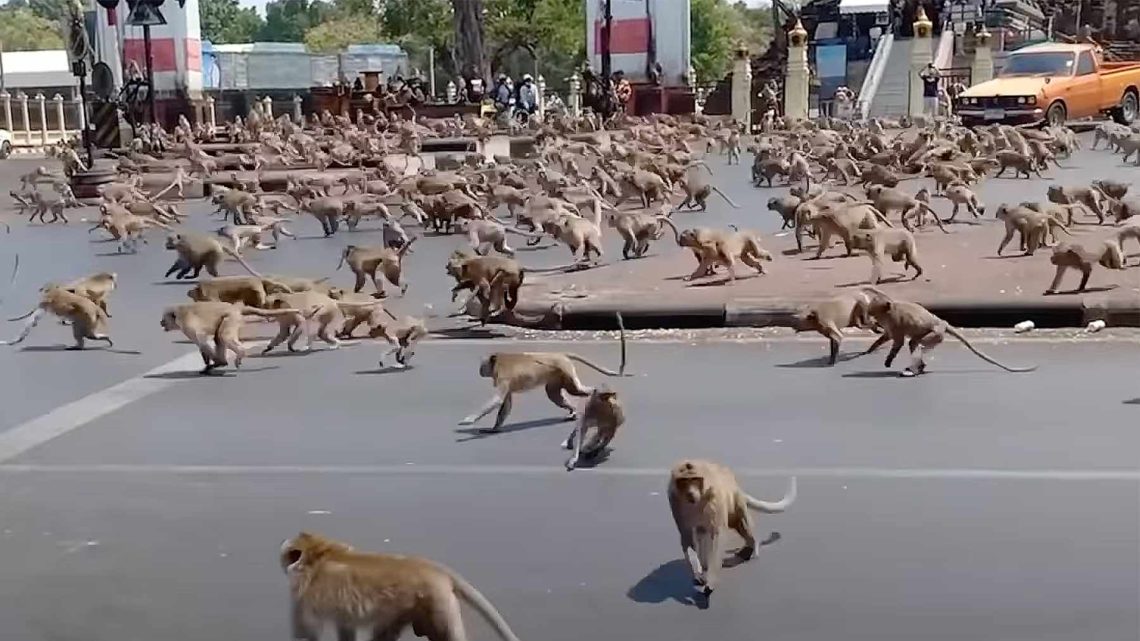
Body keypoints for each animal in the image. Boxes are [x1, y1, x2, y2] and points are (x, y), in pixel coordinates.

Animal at [281, 529, 524, 638]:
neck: (321, 554)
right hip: (413, 606)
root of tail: (434, 568)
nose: (283, 562)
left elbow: (310, 630)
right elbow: (345, 626)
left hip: (436, 602)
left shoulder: (307, 596)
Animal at [458, 317, 629, 431]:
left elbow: (497, 400)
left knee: (575, 390)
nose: (480, 370)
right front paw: (494, 428)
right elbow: (506, 403)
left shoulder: (503, 376)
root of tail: (560, 354)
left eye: (482, 365)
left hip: (565, 369)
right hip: (557, 375)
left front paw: (468, 420)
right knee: (553, 393)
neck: (498, 360)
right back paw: (573, 411)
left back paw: (595, 395)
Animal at [665, 458, 798, 593]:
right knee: (702, 531)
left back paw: (751, 546)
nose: (690, 492)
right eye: (684, 481)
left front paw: (711, 580)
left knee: (740, 521)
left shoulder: (714, 498)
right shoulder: (675, 501)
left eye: (695, 479)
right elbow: (686, 535)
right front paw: (698, 574)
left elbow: (717, 534)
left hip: (734, 498)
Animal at [861, 290, 1044, 374]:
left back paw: (914, 369)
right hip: (937, 334)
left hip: (936, 333)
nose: (870, 316)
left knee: (915, 342)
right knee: (915, 343)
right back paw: (919, 367)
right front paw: (871, 348)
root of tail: (941, 322)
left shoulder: (894, 321)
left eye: (873, 309)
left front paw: (888, 359)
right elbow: (887, 336)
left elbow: (897, 341)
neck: (889, 310)